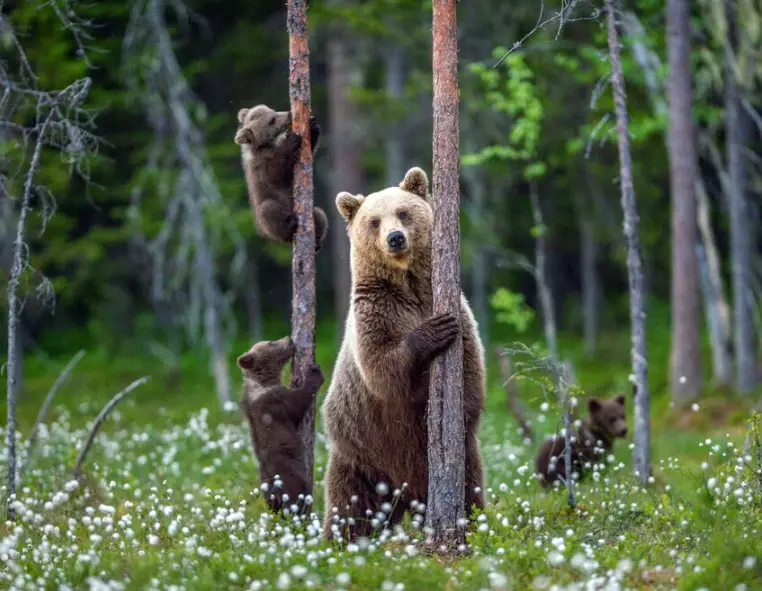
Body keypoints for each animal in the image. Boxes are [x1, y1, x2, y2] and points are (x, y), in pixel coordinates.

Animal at [234, 104, 328, 252]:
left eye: (272, 110)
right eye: (271, 120)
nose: (289, 114)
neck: (267, 145)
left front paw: (313, 126)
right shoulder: (261, 166)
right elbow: (277, 172)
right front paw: (291, 139)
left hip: (312, 213)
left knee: (319, 214)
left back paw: (317, 241)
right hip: (267, 216)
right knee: (269, 211)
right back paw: (290, 226)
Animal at [236, 336, 325, 514]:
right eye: (271, 342)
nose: (289, 339)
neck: (264, 381)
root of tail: (274, 489)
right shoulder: (275, 402)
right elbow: (298, 403)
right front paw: (314, 372)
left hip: (266, 489)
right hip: (291, 478)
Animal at [320, 167, 486, 543]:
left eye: (404, 212)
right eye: (374, 221)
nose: (395, 238)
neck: (408, 285)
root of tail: (407, 493)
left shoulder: (457, 310)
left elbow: (470, 372)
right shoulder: (375, 312)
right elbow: (383, 368)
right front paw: (433, 331)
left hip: (460, 460)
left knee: (470, 489)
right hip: (361, 454)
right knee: (350, 507)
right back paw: (338, 543)